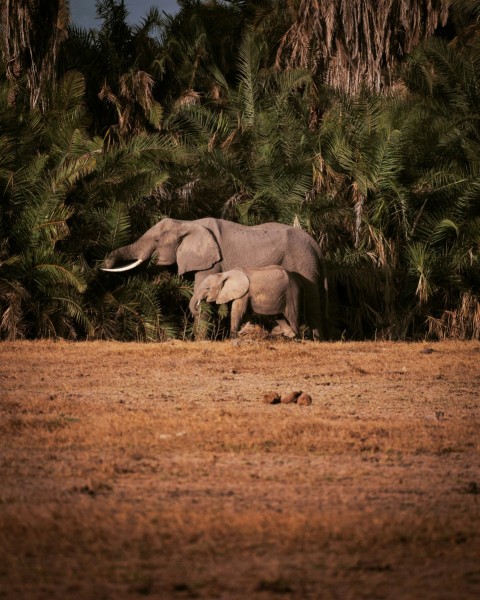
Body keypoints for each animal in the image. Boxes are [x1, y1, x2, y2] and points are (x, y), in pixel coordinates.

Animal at [101, 217, 326, 340]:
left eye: (156, 240)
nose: (102, 267)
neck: (187, 223)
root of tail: (316, 245)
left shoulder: (211, 262)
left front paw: (199, 340)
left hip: (303, 261)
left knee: (313, 301)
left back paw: (316, 340)